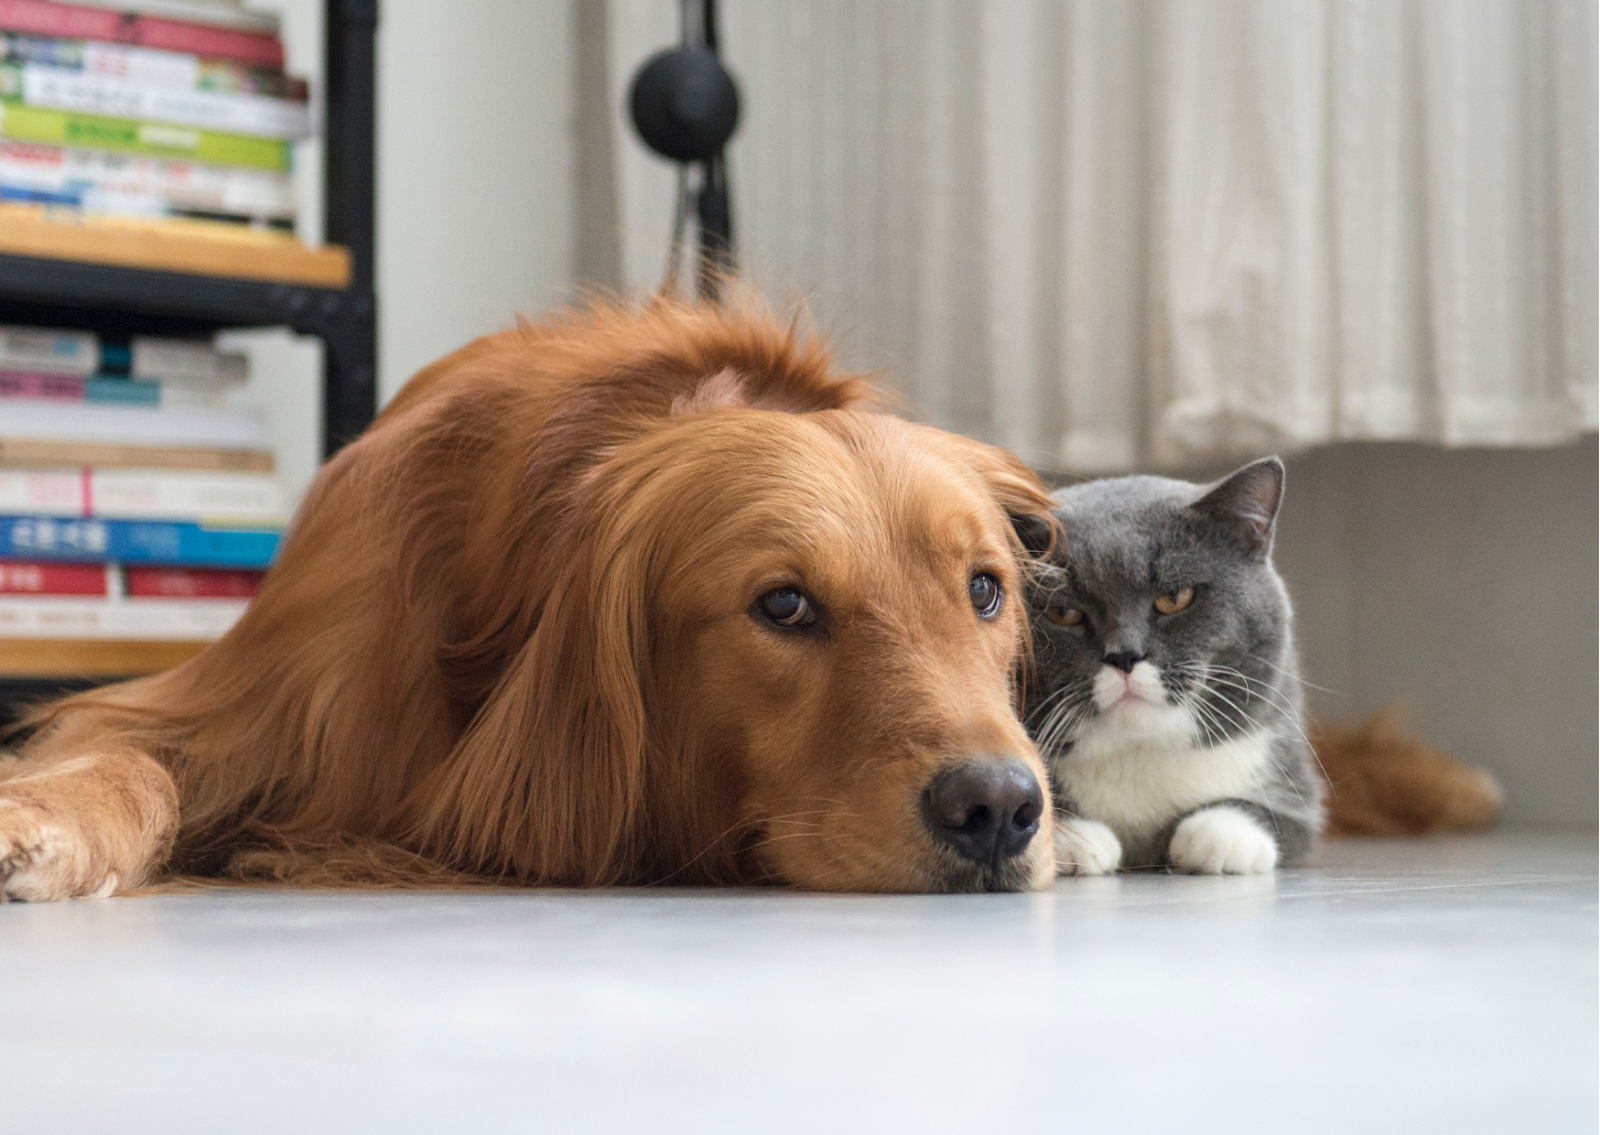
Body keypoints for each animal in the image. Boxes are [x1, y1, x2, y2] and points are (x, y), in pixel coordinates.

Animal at [1024, 454, 1324, 870]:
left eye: (1175, 597)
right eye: (1063, 612)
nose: (1124, 655)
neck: (1136, 753)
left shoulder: (1291, 771)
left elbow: (1283, 817)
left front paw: (1220, 834)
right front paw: (1073, 838)